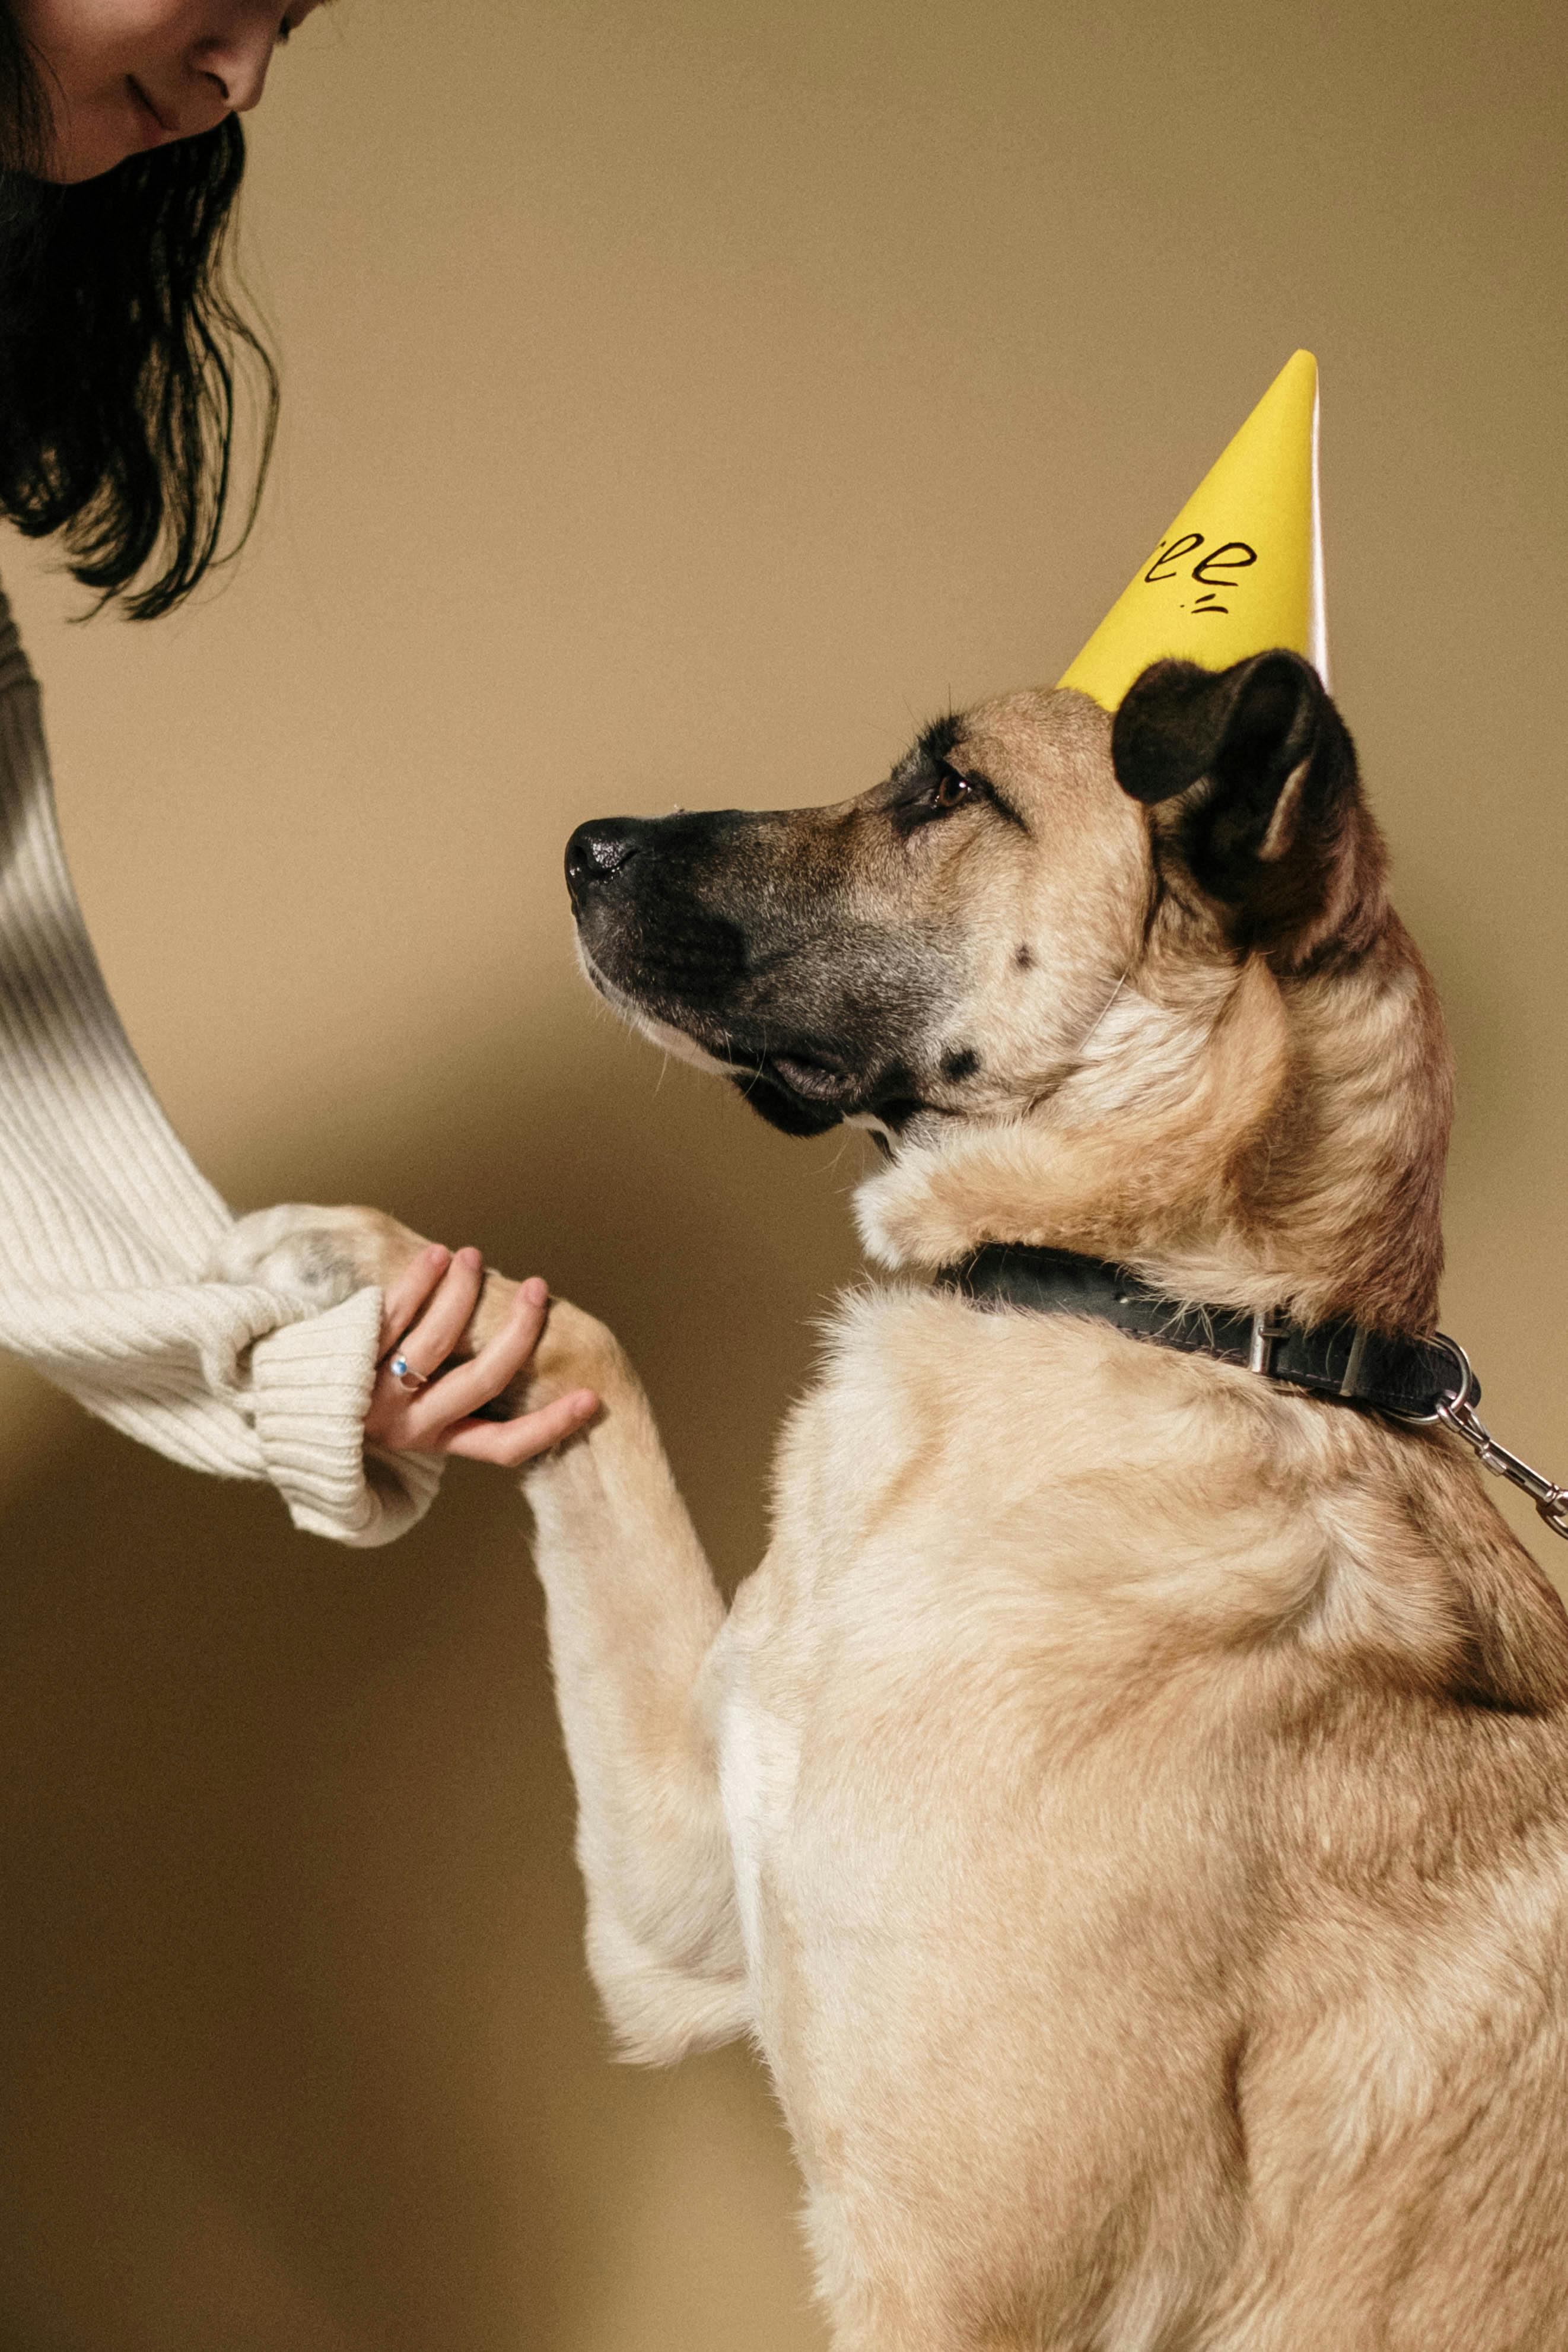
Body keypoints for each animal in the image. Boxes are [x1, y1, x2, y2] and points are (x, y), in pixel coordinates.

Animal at [233, 653, 1568, 2343]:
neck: (1158, 1313)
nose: (584, 847)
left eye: (948, 791)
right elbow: (585, 1369)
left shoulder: (960, 2284)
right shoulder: (679, 1894)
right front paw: (369, 1261)